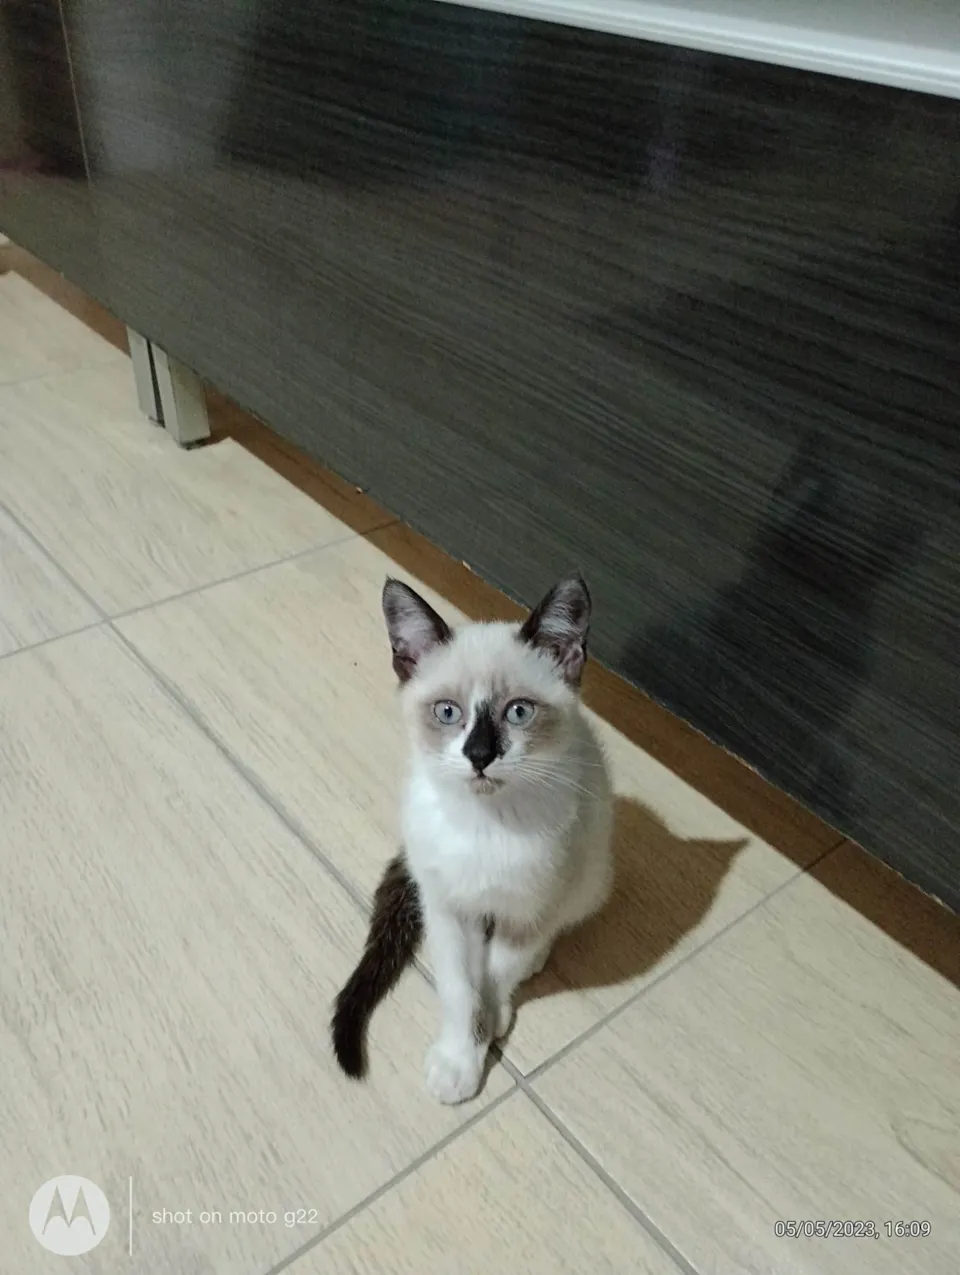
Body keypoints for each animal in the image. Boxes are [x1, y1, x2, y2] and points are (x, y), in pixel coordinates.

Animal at [332, 573, 614, 1104]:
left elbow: (496, 977)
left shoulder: (530, 907)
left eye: (519, 712)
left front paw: (487, 1026)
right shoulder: (445, 907)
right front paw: (459, 1059)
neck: (486, 824)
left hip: (592, 872)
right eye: (447, 712)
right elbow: (462, 989)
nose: (480, 755)